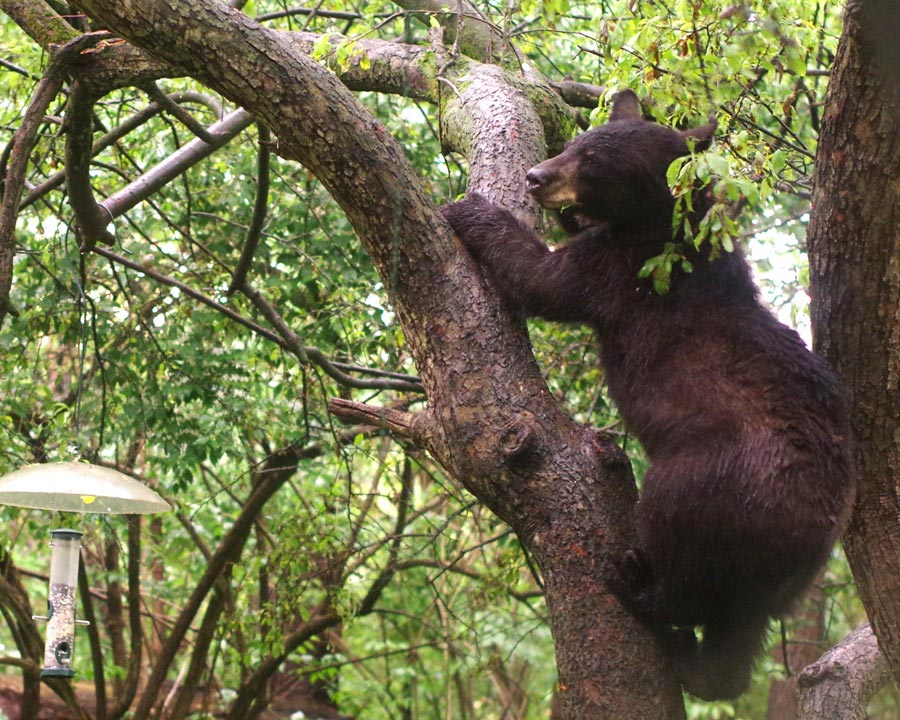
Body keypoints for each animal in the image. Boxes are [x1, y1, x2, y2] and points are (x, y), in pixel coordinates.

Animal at [441, 89, 856, 701]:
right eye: (576, 142)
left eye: (594, 163)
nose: (538, 177)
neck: (664, 228)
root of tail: (811, 531)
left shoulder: (622, 271)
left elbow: (544, 278)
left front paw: (469, 210)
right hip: (774, 577)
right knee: (735, 637)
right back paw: (697, 662)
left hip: (715, 485)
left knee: (679, 549)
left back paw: (638, 584)